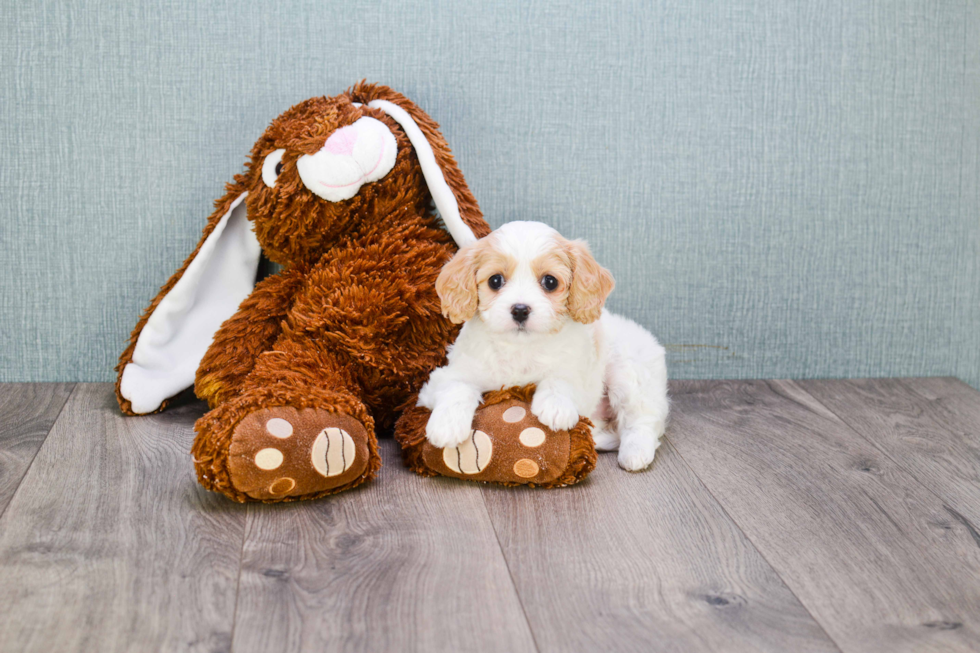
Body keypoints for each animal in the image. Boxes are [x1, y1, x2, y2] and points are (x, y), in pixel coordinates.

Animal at [418, 222, 668, 472]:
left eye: (550, 282)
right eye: (495, 281)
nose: (520, 309)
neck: (520, 348)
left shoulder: (581, 375)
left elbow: (561, 378)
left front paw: (555, 406)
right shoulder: (447, 375)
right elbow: (456, 387)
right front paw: (447, 424)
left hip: (630, 372)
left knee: (642, 420)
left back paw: (635, 453)